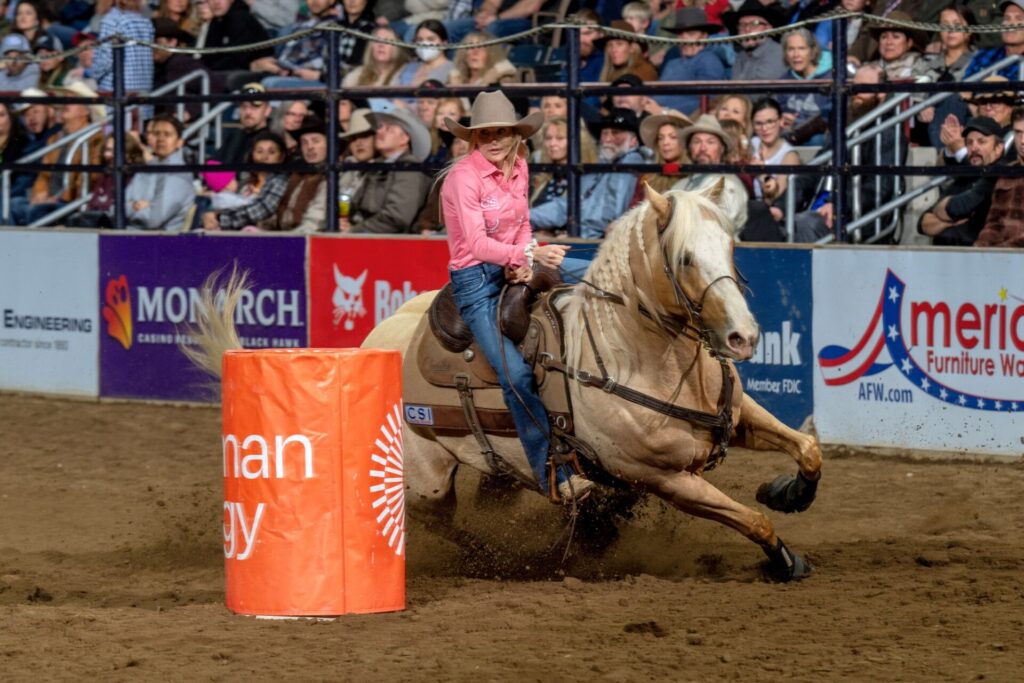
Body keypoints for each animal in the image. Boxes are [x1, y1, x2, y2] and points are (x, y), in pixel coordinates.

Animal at [186, 181, 823, 581]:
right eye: (686, 258)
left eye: (732, 245)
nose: (742, 337)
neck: (639, 358)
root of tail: (374, 341)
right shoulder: (664, 479)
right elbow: (751, 519)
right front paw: (786, 561)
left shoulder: (736, 418)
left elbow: (808, 450)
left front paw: (788, 491)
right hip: (427, 479)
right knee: (435, 519)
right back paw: (505, 553)